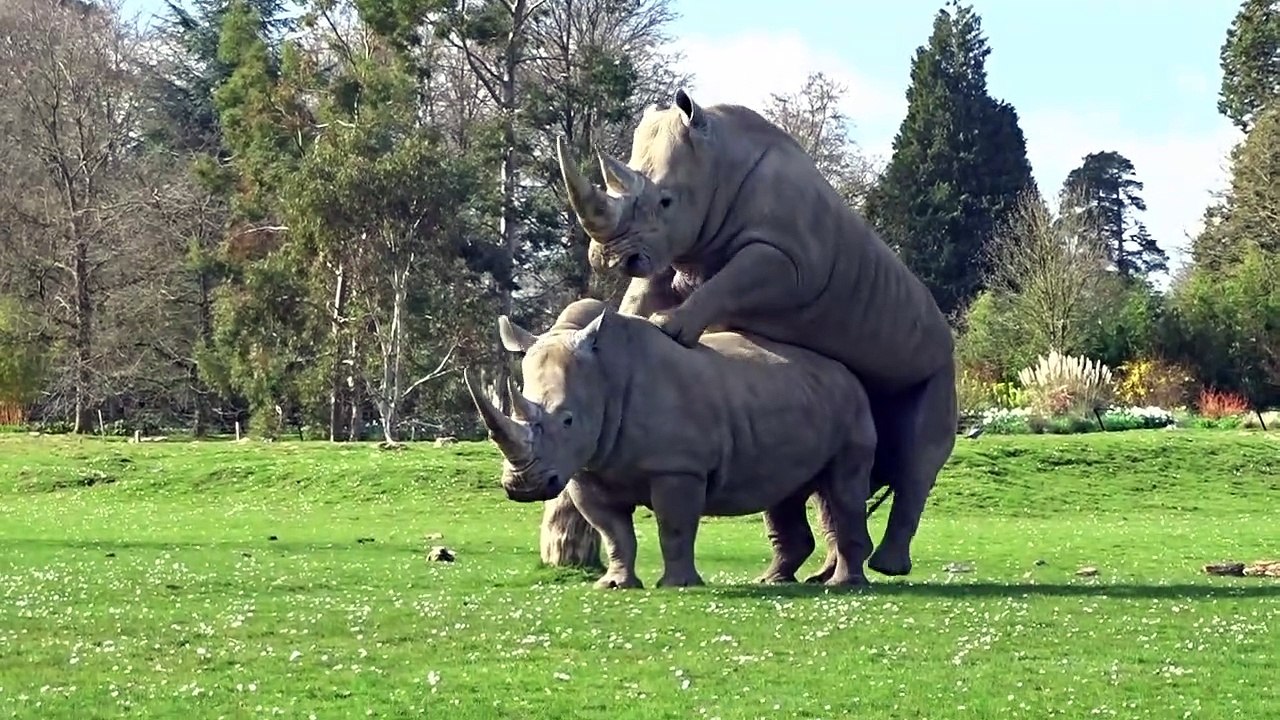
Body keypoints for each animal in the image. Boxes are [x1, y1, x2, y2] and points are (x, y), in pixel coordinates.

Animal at [464, 298, 878, 589]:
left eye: (567, 420)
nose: (523, 487)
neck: (604, 375)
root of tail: (846, 371)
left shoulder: (678, 467)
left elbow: (674, 527)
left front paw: (678, 585)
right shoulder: (585, 467)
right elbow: (613, 532)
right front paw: (614, 585)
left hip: (854, 403)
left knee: (843, 490)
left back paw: (845, 585)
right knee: (787, 490)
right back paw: (773, 580)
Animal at [555, 89, 957, 577]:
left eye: (667, 201)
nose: (610, 257)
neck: (719, 163)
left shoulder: (787, 258)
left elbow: (732, 280)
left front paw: (668, 330)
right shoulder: (677, 251)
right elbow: (642, 292)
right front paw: (619, 321)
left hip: (940, 362)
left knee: (916, 457)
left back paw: (885, 568)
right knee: (831, 482)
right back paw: (815, 574)